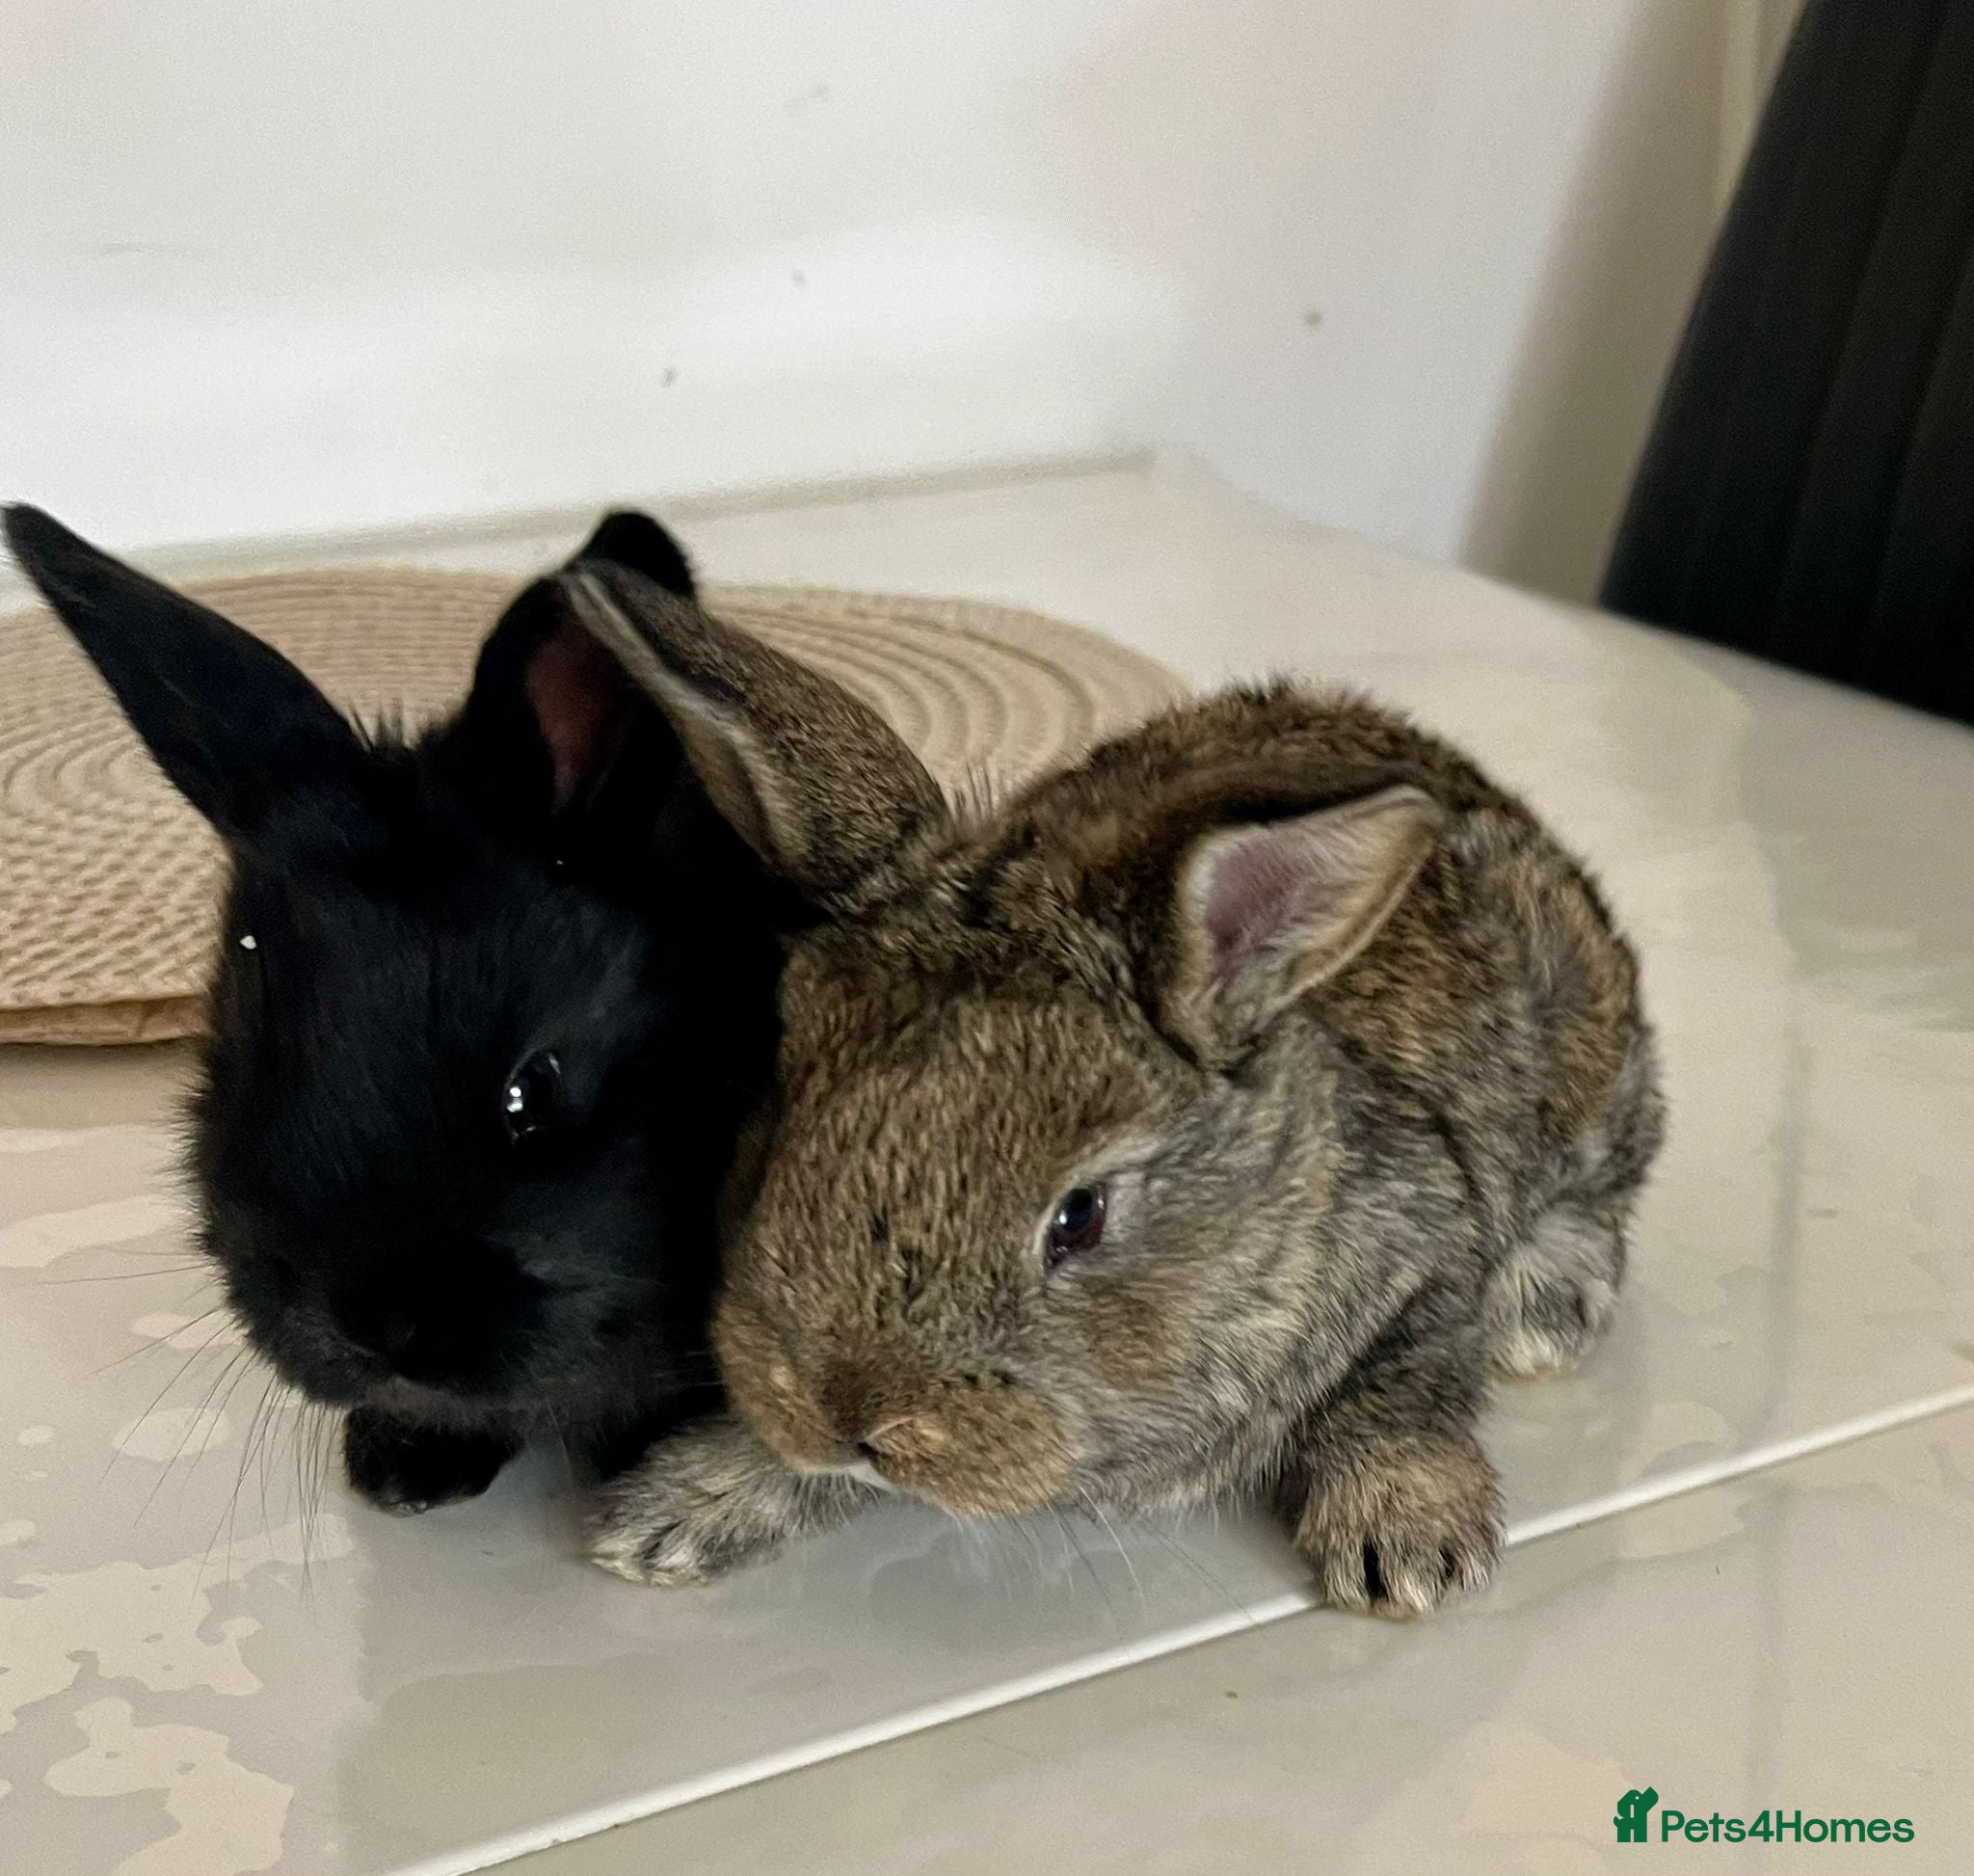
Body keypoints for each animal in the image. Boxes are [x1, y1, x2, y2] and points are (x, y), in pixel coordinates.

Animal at [560, 556, 1665, 1615]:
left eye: (1078, 1217)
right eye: (780, 1109)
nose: (843, 1416)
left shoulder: (1431, 1241)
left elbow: (1408, 1377)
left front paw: (1407, 1540)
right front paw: (683, 1507)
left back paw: (1547, 1308)